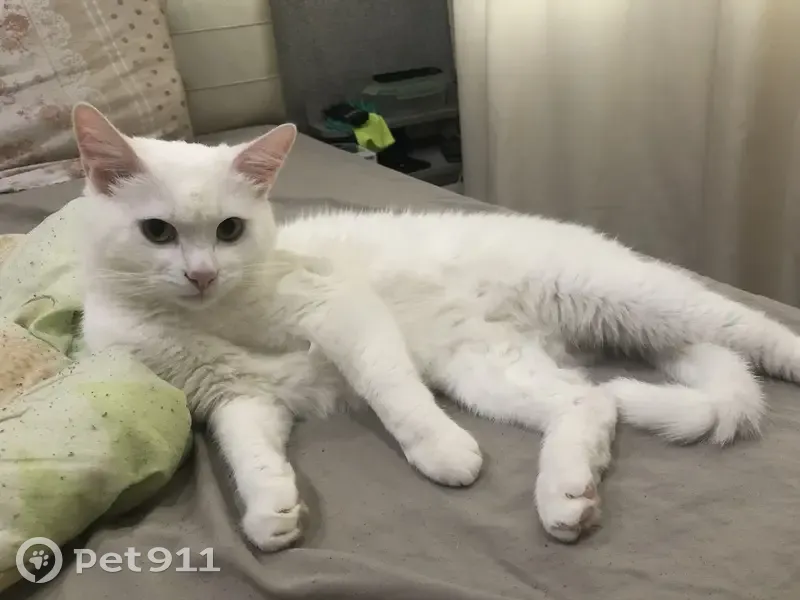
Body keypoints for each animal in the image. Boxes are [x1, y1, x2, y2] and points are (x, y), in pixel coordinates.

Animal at [73, 102, 800, 551]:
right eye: (157, 232)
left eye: (230, 230)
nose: (200, 275)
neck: (212, 317)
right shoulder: (239, 397)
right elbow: (246, 453)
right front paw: (271, 511)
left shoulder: (345, 311)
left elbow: (396, 397)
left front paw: (442, 452)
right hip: (490, 370)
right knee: (591, 402)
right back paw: (568, 496)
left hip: (631, 295)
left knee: (755, 327)